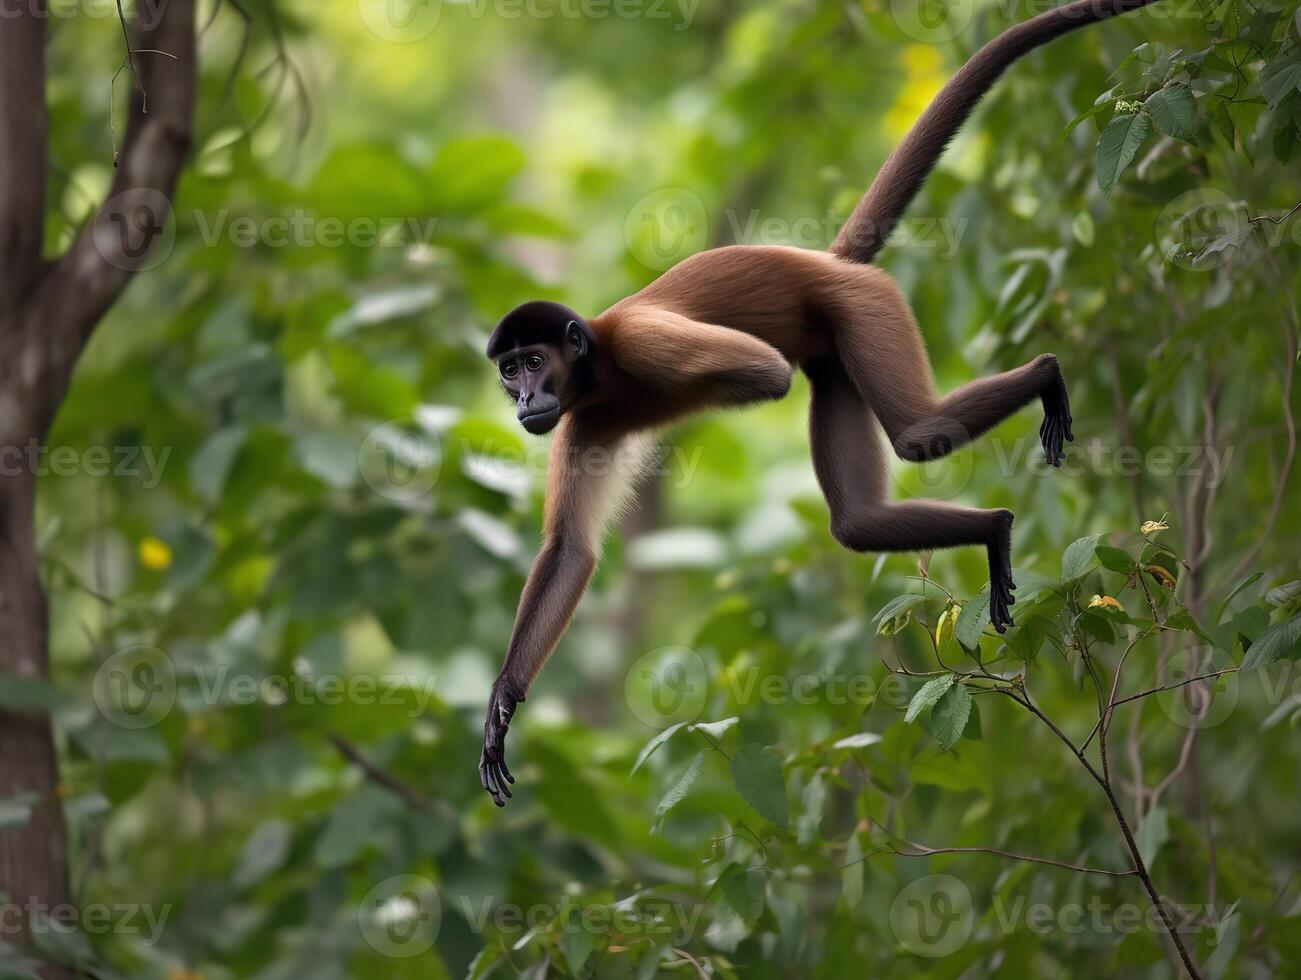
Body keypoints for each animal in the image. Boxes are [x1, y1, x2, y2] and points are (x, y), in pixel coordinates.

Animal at [478, 0, 1160, 801]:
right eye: (508, 372)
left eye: (531, 363)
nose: (523, 397)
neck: (599, 373)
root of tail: (825, 262)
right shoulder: (574, 424)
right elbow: (570, 551)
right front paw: (502, 704)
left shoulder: (638, 341)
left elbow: (766, 373)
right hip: (840, 356)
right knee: (858, 521)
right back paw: (991, 524)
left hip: (863, 306)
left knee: (917, 434)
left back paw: (1039, 395)